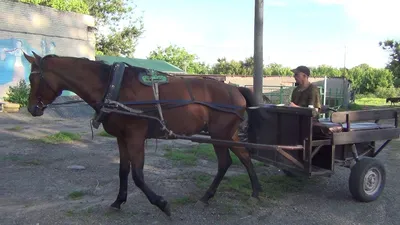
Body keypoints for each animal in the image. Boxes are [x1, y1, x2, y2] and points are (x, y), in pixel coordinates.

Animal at [22, 51, 262, 217]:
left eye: (33, 79)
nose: (32, 108)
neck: (113, 86)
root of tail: (236, 89)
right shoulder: (122, 138)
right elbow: (123, 171)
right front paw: (118, 201)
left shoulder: (135, 136)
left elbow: (137, 175)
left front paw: (161, 204)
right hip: (226, 135)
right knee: (240, 158)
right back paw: (248, 192)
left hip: (220, 134)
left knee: (228, 161)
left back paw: (216, 195)